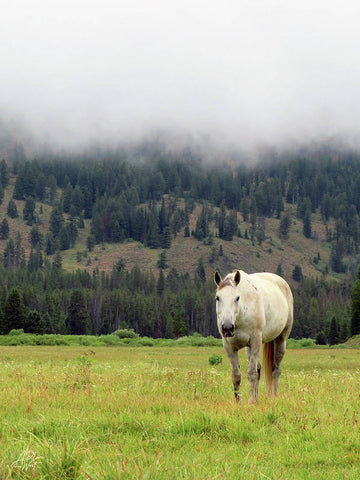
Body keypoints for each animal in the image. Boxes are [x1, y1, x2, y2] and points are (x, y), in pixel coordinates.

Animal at [214, 272, 292, 404]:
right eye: (218, 298)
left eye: (237, 298)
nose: (227, 328)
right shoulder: (229, 346)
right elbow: (236, 376)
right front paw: (239, 402)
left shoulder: (256, 341)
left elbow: (251, 373)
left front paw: (250, 401)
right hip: (248, 348)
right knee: (259, 368)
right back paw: (256, 397)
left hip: (281, 340)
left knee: (276, 370)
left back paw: (274, 396)